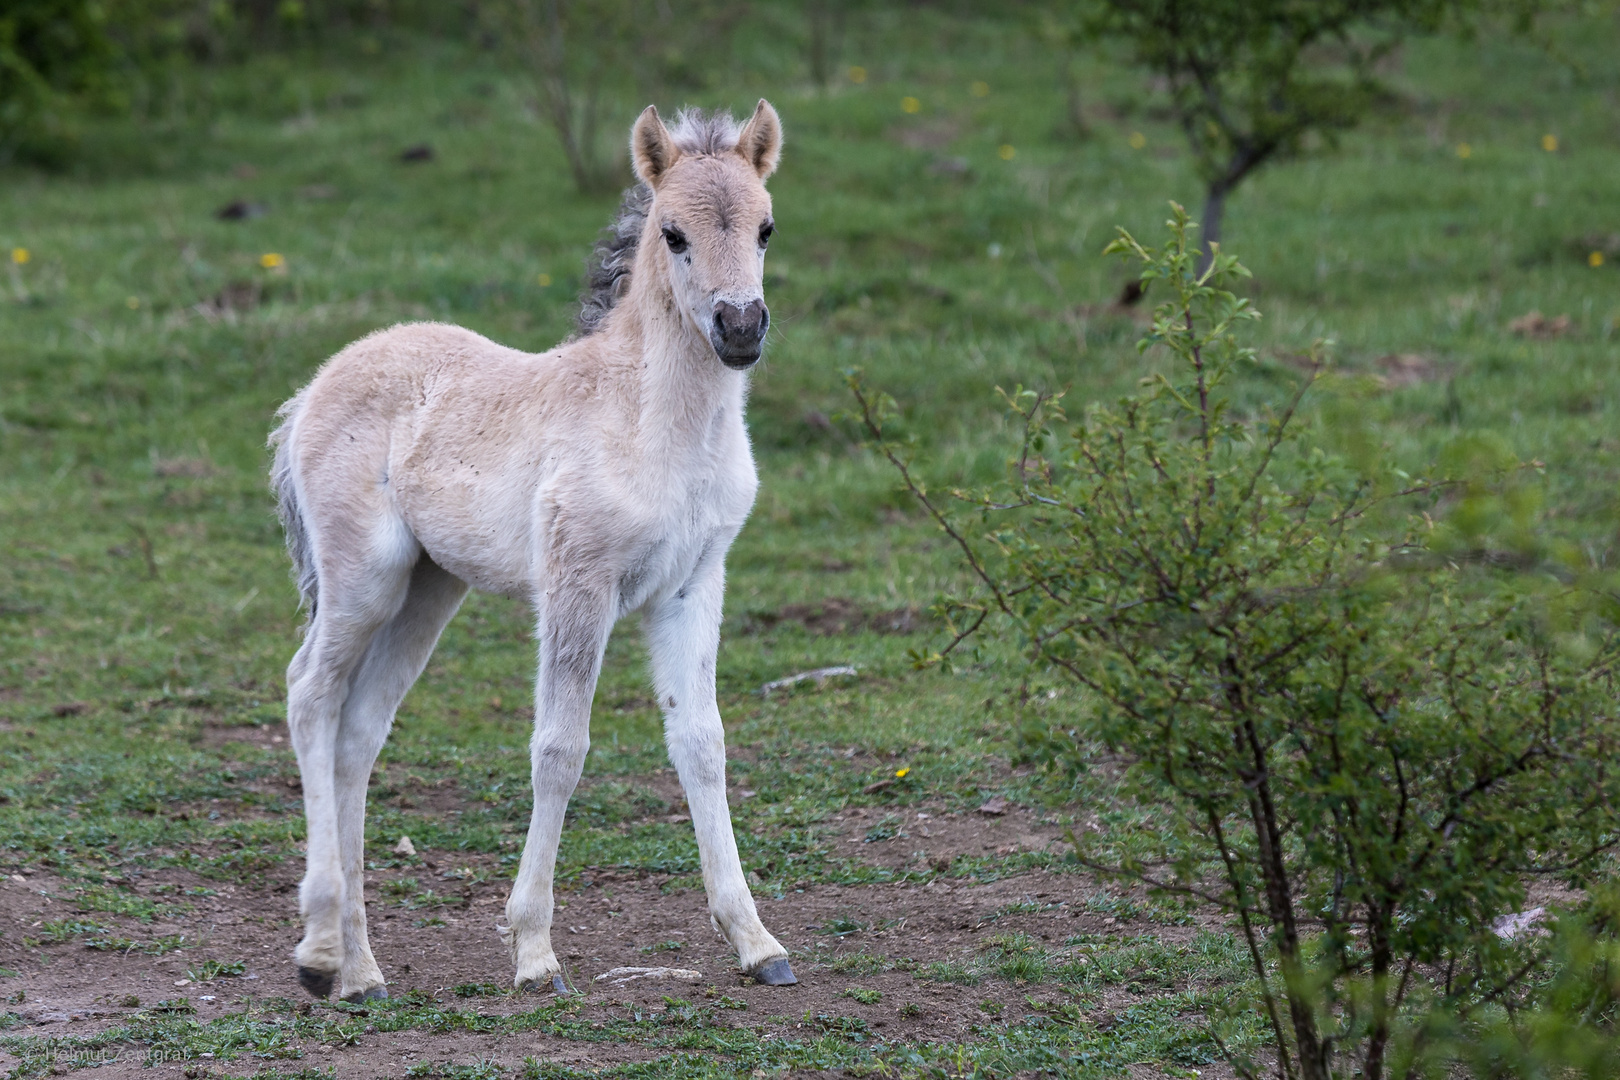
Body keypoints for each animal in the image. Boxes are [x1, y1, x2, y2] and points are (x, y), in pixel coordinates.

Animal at [268, 103, 793, 1003]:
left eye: (765, 227)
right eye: (674, 234)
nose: (740, 328)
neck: (649, 420)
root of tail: (314, 387)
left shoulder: (693, 584)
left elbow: (702, 743)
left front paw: (757, 943)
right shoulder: (579, 584)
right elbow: (560, 749)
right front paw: (534, 952)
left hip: (428, 590)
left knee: (359, 731)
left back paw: (364, 971)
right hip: (363, 580)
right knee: (311, 695)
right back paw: (321, 953)